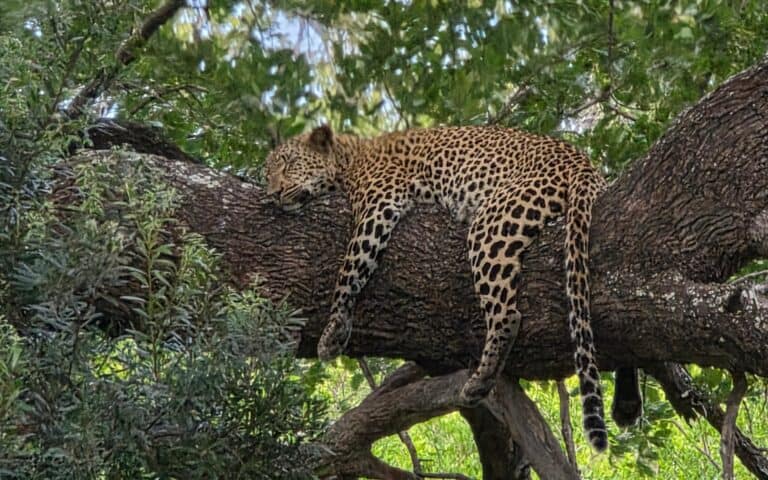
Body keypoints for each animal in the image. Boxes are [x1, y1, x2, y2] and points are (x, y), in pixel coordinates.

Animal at [265, 124, 609, 451]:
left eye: (289, 163)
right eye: (268, 174)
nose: (274, 193)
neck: (348, 157)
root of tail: (583, 162)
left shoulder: (379, 203)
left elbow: (350, 267)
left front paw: (333, 330)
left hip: (493, 223)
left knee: (508, 316)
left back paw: (480, 380)